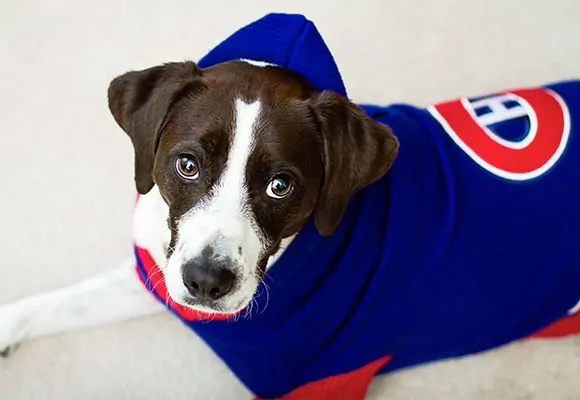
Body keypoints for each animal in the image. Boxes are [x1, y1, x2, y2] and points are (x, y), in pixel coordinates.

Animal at [1, 12, 580, 400]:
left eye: (281, 185)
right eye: (187, 164)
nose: (206, 282)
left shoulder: (328, 381)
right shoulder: (159, 272)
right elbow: (59, 303)